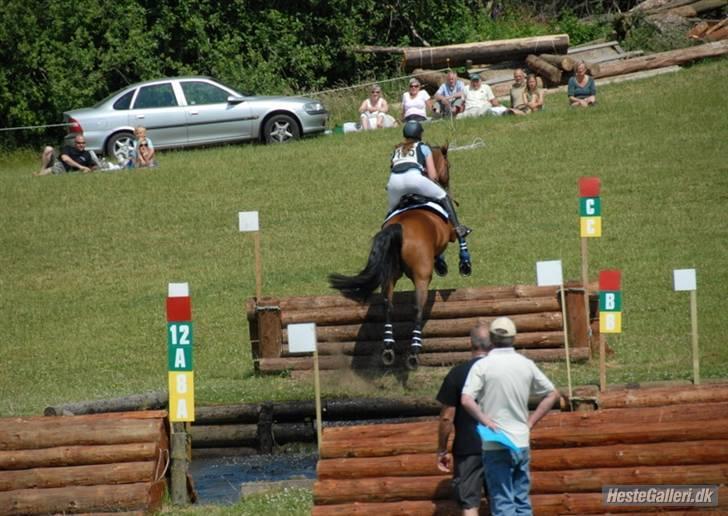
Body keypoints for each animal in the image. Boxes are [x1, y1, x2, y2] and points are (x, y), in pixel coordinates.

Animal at [328, 145, 470, 370]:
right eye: (449, 165)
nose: (446, 183)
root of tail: (399, 229)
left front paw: (442, 264)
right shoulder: (450, 234)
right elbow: (459, 236)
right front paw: (463, 264)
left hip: (390, 275)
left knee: (388, 306)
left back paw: (388, 349)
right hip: (421, 276)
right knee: (417, 308)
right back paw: (413, 352)